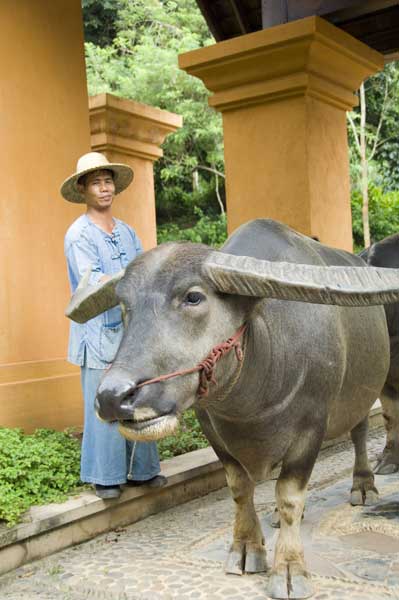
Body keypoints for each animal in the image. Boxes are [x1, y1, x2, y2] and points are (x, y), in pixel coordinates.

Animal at [65, 219, 399, 596]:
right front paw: (246, 548)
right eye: (124, 305)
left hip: (364, 391)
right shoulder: (212, 429)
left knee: (360, 433)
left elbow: (289, 495)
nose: (113, 396)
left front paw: (289, 568)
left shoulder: (311, 427)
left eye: (194, 296)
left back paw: (363, 485)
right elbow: (240, 489)